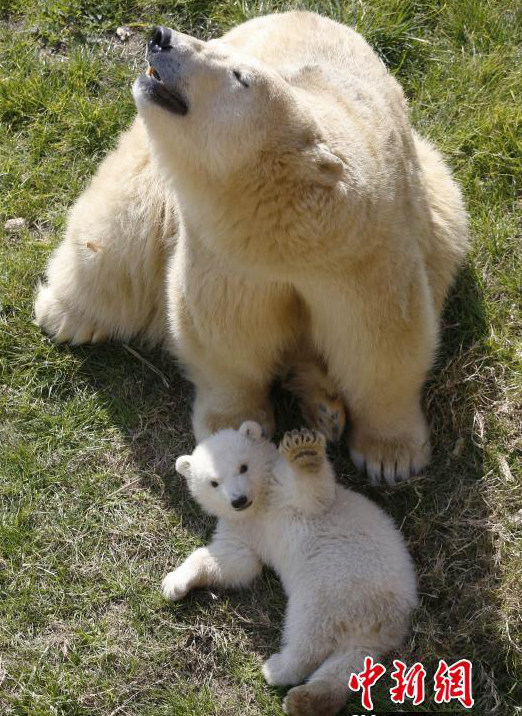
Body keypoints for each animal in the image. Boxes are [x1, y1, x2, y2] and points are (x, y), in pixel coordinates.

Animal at [35, 11, 468, 484]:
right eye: (219, 52)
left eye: (239, 75)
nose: (161, 37)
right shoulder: (226, 257)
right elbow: (227, 332)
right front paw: (231, 431)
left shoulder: (365, 254)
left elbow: (382, 339)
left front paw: (391, 458)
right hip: (149, 176)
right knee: (118, 232)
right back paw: (65, 315)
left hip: (440, 199)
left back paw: (324, 407)